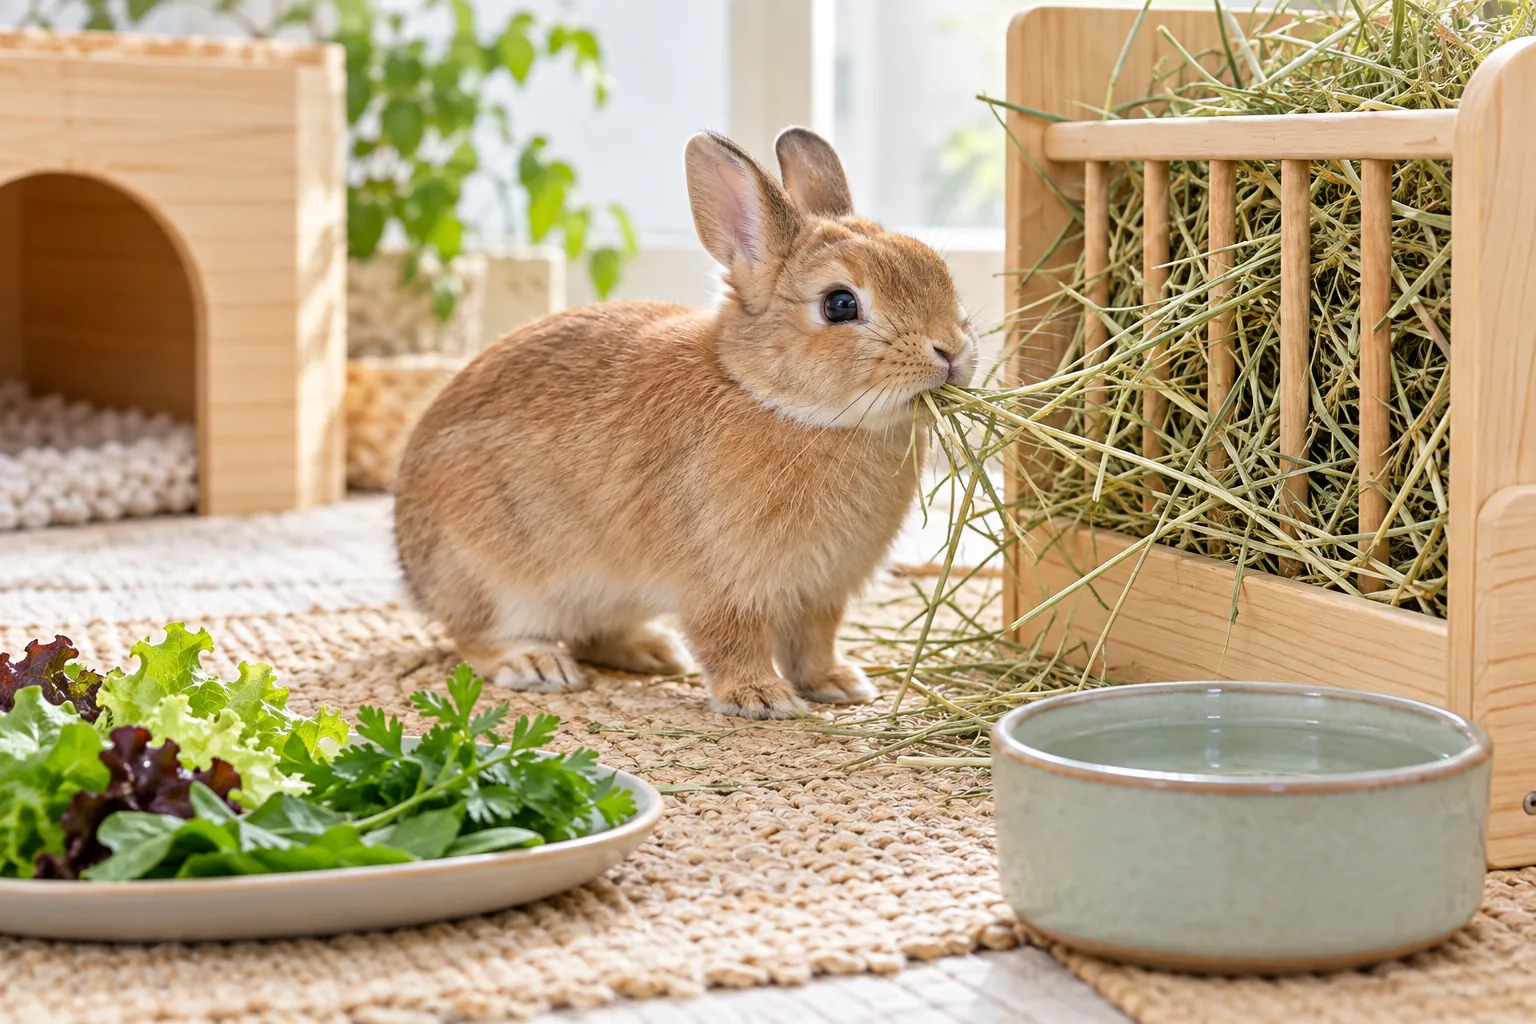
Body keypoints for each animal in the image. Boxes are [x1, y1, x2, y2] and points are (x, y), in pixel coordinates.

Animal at [394, 126, 977, 719]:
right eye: (840, 304)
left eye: (935, 267)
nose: (951, 350)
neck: (767, 396)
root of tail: (413, 570)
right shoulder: (723, 584)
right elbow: (731, 642)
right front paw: (761, 699)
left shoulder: (820, 593)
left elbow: (815, 643)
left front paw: (838, 684)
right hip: (495, 578)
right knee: (474, 637)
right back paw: (535, 664)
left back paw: (652, 650)